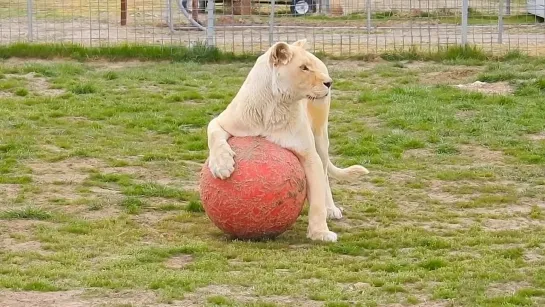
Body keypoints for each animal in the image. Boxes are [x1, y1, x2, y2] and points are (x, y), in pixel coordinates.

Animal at [205, 39, 370, 243]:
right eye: (304, 67)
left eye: (311, 66)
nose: (329, 82)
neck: (275, 106)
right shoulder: (223, 121)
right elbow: (213, 133)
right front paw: (222, 165)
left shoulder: (309, 154)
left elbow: (317, 200)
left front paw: (320, 233)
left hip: (321, 136)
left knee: (324, 176)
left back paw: (331, 209)